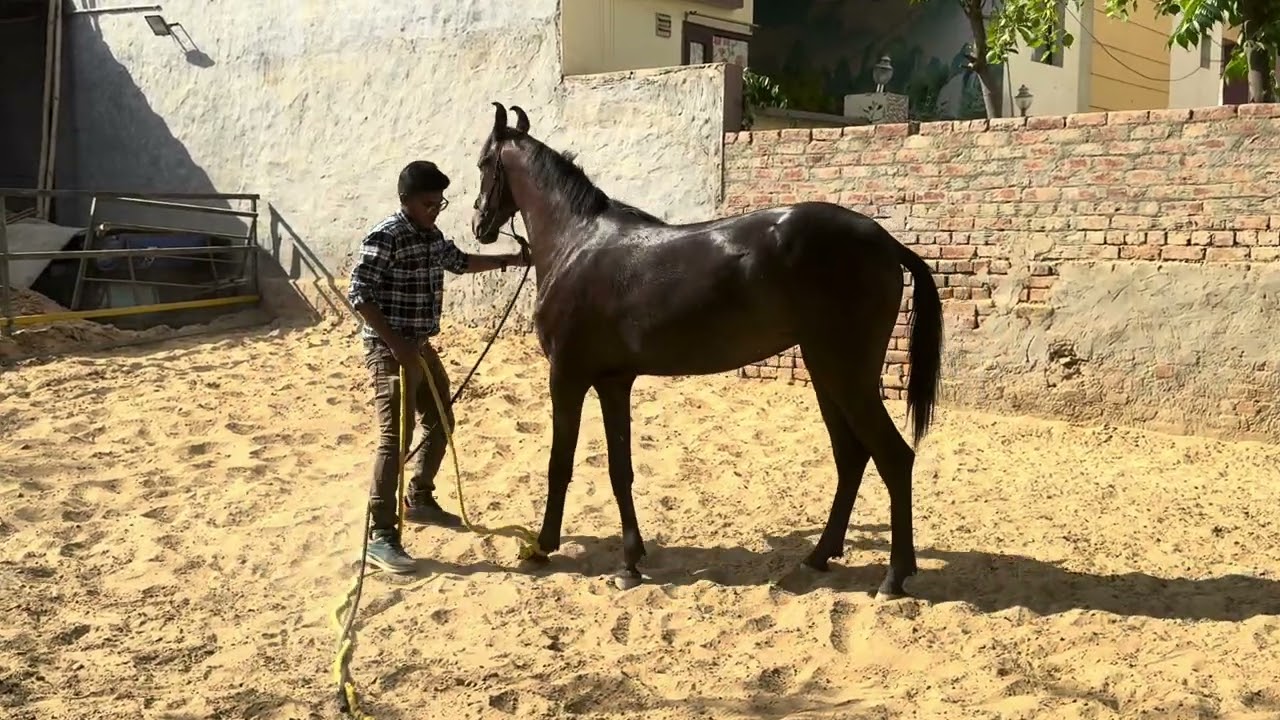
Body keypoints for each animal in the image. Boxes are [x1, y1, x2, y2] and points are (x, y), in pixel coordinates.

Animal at [468, 102, 943, 599]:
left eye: (483, 163)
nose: (479, 225)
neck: (577, 244)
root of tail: (885, 241)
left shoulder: (567, 377)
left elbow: (559, 464)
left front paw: (542, 547)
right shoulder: (613, 382)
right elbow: (620, 469)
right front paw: (630, 562)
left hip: (846, 376)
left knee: (894, 458)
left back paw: (894, 577)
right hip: (826, 373)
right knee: (851, 458)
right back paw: (818, 557)